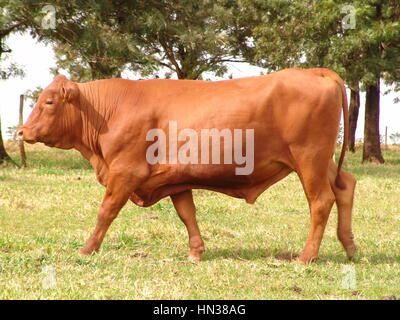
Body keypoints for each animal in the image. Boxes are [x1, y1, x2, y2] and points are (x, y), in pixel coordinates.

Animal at [19, 67, 356, 262]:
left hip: (309, 159)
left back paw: (306, 257)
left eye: (49, 102)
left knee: (320, 201)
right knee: (345, 187)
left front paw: (87, 249)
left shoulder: (124, 173)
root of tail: (315, 71)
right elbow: (187, 214)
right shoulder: (174, 177)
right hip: (321, 161)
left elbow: (105, 213)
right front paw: (196, 251)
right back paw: (350, 248)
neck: (109, 111)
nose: (22, 131)